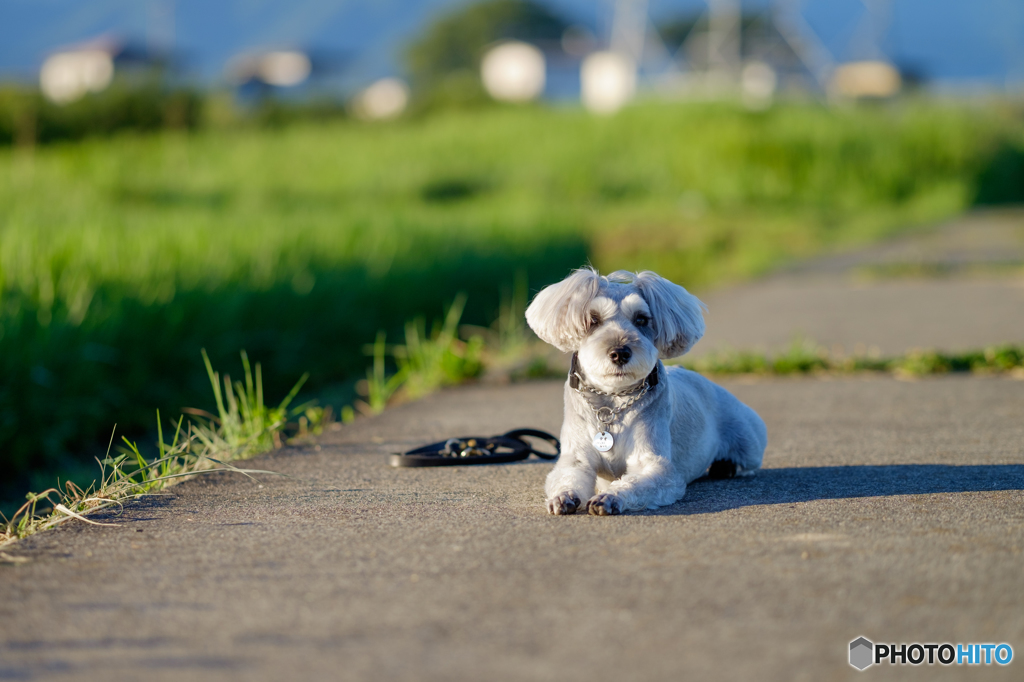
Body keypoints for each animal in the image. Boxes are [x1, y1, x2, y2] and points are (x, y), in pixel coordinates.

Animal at [528, 268, 770, 512]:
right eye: (593, 319)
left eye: (641, 319)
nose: (620, 353)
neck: (612, 399)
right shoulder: (575, 460)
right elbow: (566, 478)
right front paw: (563, 496)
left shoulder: (654, 466)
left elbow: (633, 483)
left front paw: (610, 497)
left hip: (748, 442)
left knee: (749, 462)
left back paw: (728, 465)